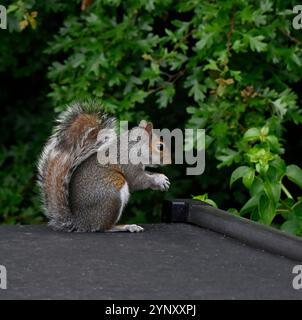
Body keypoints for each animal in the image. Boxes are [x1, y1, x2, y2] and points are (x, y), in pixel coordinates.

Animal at [37, 101, 170, 231]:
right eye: (160, 146)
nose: (170, 161)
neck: (134, 148)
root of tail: (81, 222)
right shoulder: (129, 165)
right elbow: (137, 181)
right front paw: (158, 179)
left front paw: (161, 179)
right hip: (112, 194)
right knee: (104, 227)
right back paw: (126, 226)